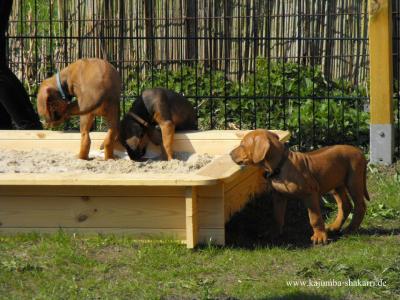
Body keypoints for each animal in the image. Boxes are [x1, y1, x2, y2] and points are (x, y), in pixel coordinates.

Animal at [230, 129, 370, 244]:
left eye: (242, 144)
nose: (230, 153)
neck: (280, 166)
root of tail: (359, 151)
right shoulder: (278, 196)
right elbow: (277, 216)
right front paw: (274, 233)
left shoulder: (310, 194)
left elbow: (315, 218)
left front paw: (319, 236)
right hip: (336, 183)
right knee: (345, 205)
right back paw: (335, 226)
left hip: (353, 181)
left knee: (360, 206)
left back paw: (350, 229)